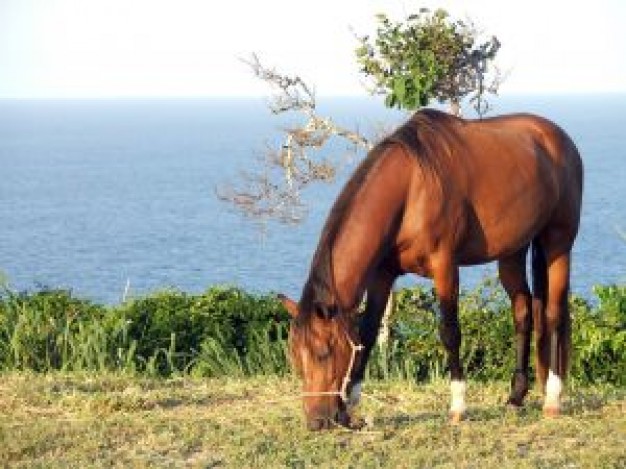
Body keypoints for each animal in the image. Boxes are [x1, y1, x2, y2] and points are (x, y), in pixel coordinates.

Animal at [278, 108, 580, 430]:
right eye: (295, 356)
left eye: (323, 353)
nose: (316, 421)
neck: (411, 189)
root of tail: (558, 138)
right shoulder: (382, 275)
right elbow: (368, 333)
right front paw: (351, 408)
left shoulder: (444, 266)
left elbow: (450, 332)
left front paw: (458, 405)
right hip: (512, 252)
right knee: (523, 313)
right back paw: (516, 397)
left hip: (558, 243)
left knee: (554, 314)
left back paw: (552, 399)